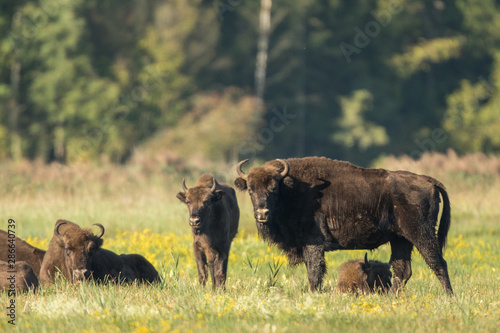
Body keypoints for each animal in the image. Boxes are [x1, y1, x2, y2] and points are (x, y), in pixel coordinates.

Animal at [234, 156, 454, 294]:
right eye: (251, 189)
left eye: (273, 188)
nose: (262, 213)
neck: (291, 189)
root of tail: (428, 181)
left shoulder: (313, 243)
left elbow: (314, 272)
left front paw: (313, 293)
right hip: (400, 238)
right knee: (403, 270)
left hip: (420, 233)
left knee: (438, 263)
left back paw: (448, 296)